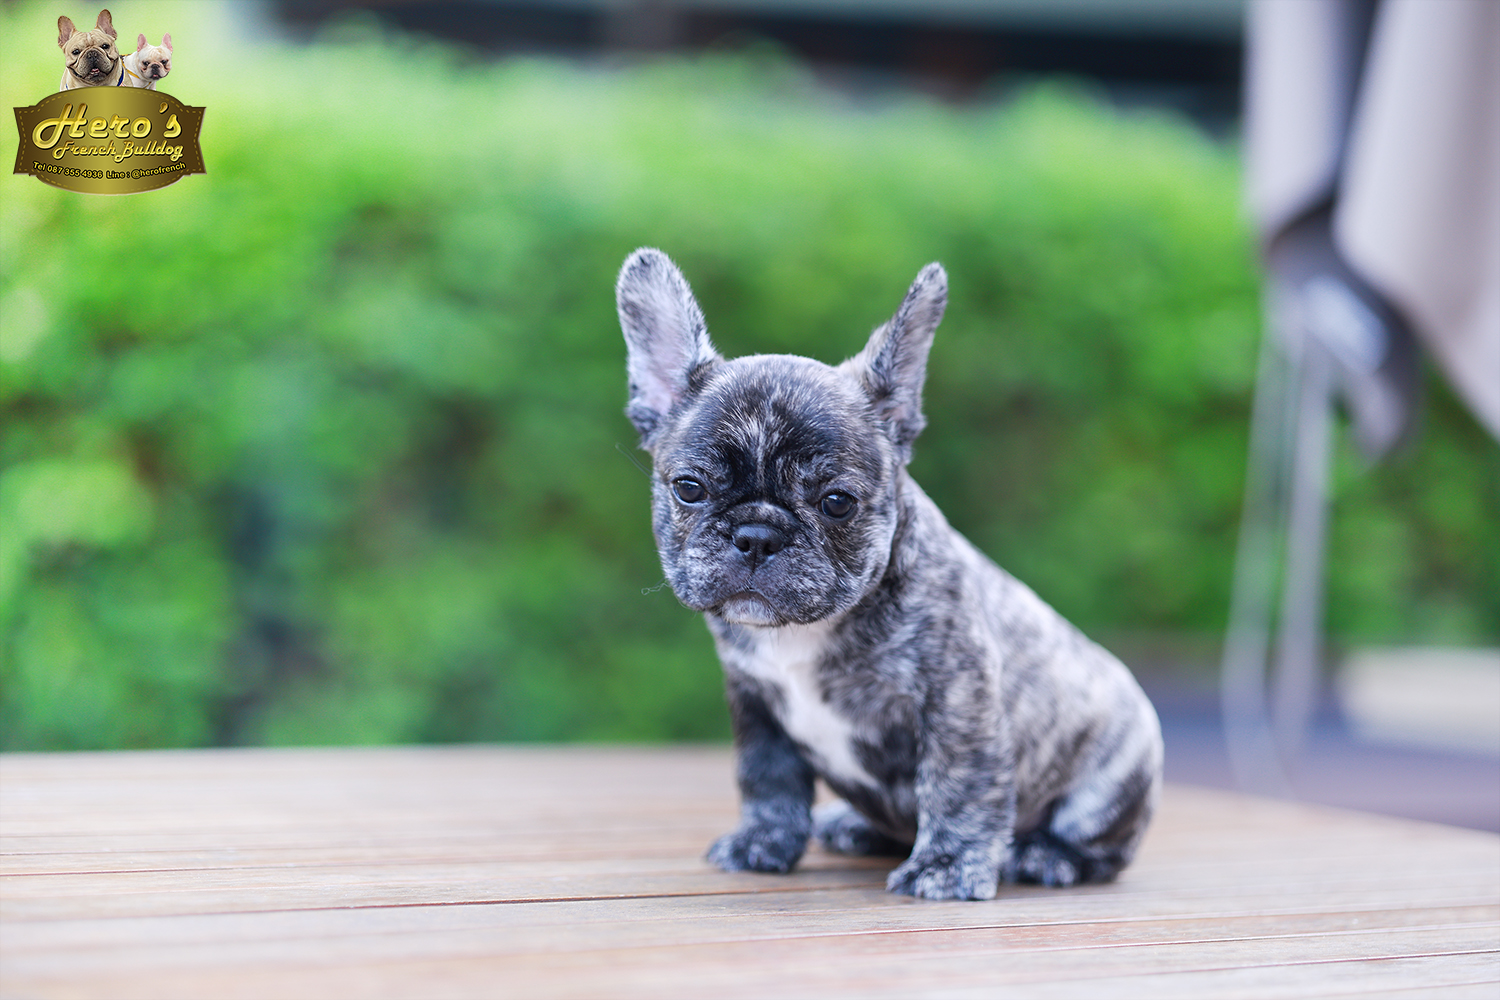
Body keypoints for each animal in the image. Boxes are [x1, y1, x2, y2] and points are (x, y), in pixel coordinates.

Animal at [616, 248, 1163, 901]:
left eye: (836, 502)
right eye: (689, 488)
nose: (756, 535)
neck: (802, 634)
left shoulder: (957, 700)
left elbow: (959, 784)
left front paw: (946, 867)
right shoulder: (755, 704)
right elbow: (767, 779)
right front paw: (762, 842)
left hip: (1113, 774)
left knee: (1103, 845)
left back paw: (1046, 856)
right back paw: (854, 825)